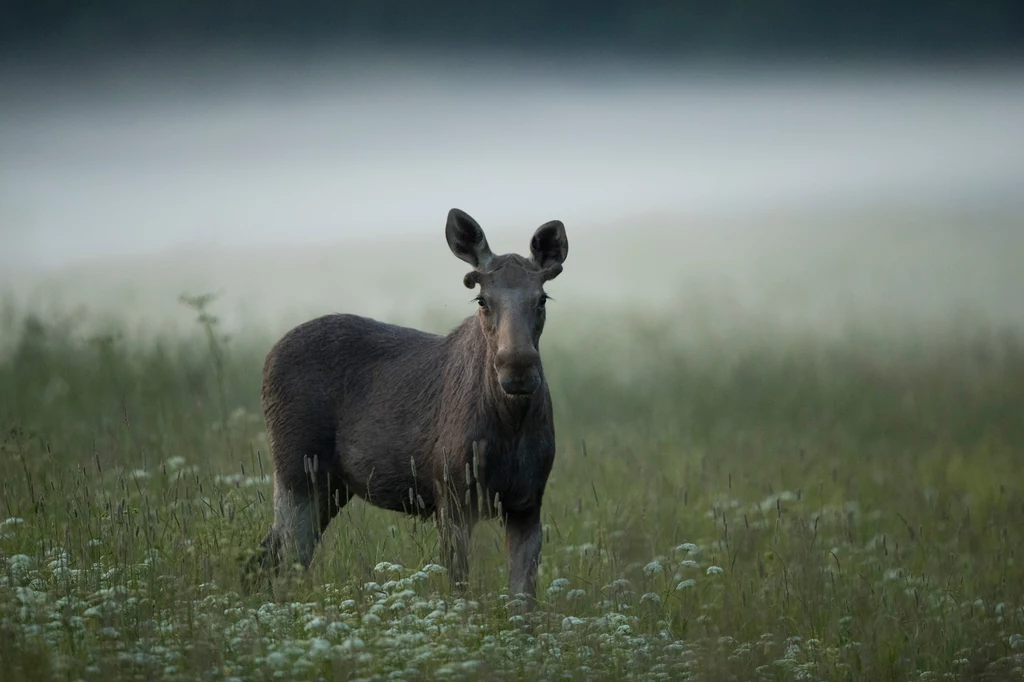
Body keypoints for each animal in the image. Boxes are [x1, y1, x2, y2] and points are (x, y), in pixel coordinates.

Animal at [244, 206, 573, 602]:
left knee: (266, 558)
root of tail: (268, 355)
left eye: (541, 298)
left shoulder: (527, 504)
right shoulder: (453, 499)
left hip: (331, 488)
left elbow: (523, 603)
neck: (512, 421)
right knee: (283, 560)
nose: (518, 369)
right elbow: (460, 593)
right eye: (482, 299)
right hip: (295, 474)